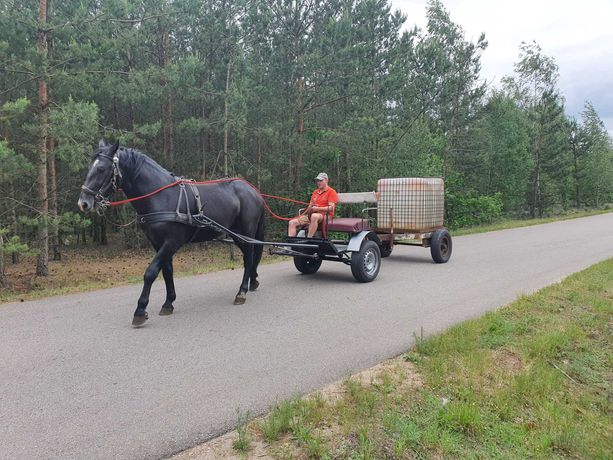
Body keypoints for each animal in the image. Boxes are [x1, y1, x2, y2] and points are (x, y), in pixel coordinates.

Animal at [77, 140, 266, 328]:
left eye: (101, 168)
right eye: (89, 166)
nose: (83, 203)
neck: (162, 196)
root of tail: (254, 191)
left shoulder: (172, 242)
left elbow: (151, 272)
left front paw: (140, 310)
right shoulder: (158, 243)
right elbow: (167, 271)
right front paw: (168, 303)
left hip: (246, 231)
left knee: (249, 257)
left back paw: (242, 292)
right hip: (236, 234)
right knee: (249, 257)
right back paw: (253, 282)